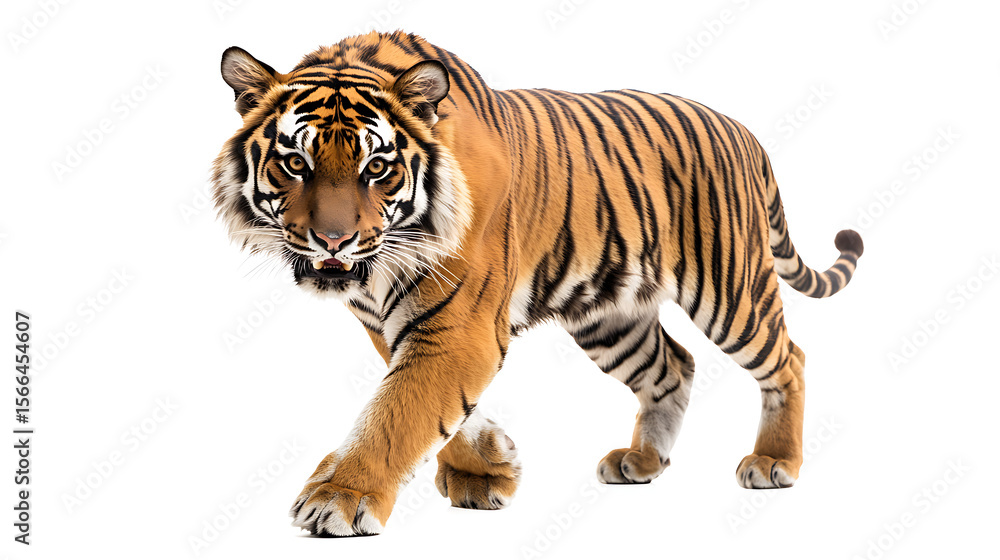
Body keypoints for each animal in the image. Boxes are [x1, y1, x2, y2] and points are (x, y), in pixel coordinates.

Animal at [211, 30, 863, 537]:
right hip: (611, 316)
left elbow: (398, 411)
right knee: (673, 366)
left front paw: (339, 499)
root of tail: (743, 131)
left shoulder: (461, 326)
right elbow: (434, 406)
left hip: (730, 289)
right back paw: (642, 460)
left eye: (377, 168)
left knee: (789, 358)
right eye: (295, 163)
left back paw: (774, 462)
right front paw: (487, 468)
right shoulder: (399, 325)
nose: (333, 241)